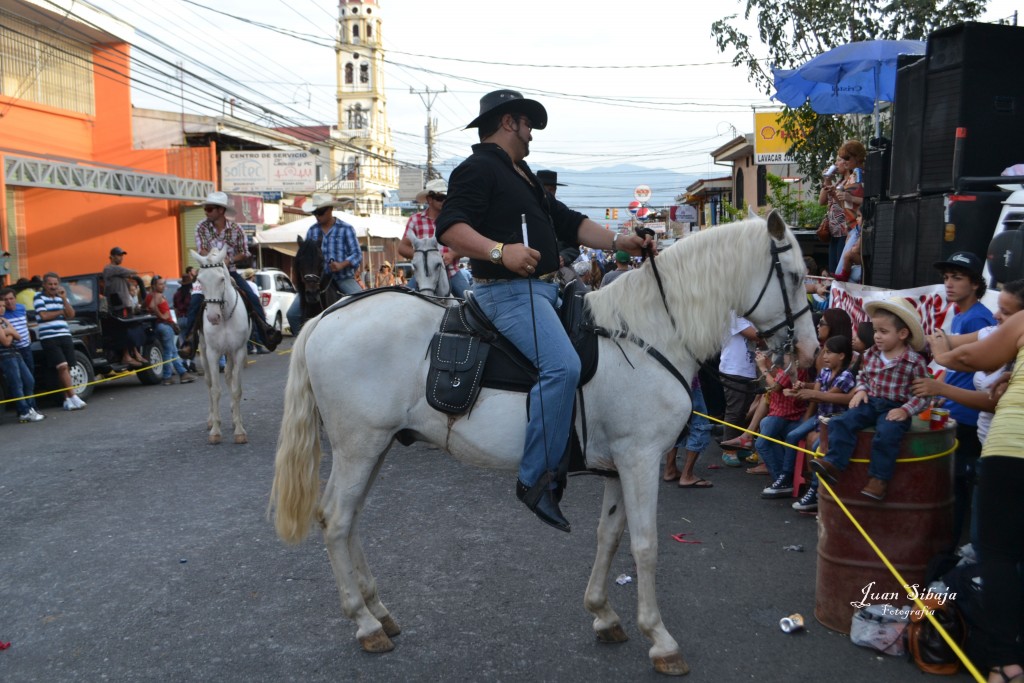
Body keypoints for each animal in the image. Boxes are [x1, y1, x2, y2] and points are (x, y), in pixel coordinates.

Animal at [194, 244, 252, 444]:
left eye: (221, 279)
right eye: (200, 280)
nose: (212, 317)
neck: (226, 316)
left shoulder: (238, 351)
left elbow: (236, 389)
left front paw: (240, 430)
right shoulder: (212, 353)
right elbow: (215, 390)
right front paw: (215, 431)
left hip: (230, 354)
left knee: (228, 376)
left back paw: (235, 416)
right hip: (204, 351)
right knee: (208, 382)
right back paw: (211, 419)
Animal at [270, 211, 815, 671]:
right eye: (793, 276)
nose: (808, 351)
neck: (648, 334)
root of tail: (326, 318)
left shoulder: (620, 463)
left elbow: (610, 535)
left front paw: (604, 613)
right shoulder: (640, 459)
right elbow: (645, 546)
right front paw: (660, 639)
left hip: (373, 447)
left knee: (350, 519)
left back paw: (377, 610)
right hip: (359, 446)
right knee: (337, 520)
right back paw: (364, 624)